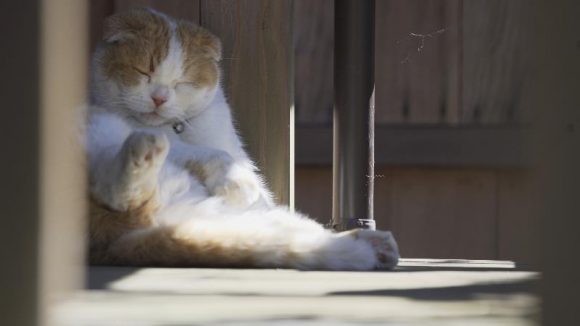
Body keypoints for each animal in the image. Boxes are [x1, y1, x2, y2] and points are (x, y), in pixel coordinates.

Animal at [86, 8, 398, 272]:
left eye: (182, 82)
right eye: (143, 72)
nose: (159, 98)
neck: (176, 128)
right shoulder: (176, 144)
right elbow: (213, 157)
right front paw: (239, 184)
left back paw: (375, 246)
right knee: (121, 189)